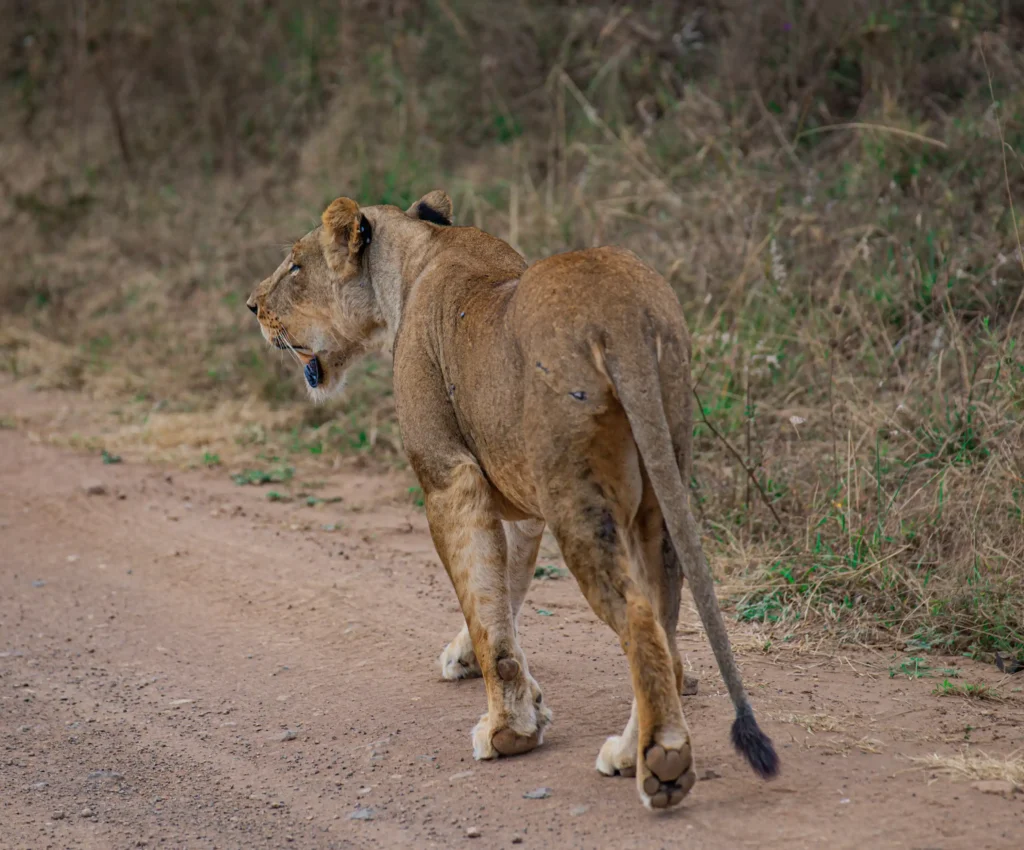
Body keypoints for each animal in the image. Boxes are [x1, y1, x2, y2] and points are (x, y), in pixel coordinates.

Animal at [246, 190, 778, 809]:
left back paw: (661, 763)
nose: (252, 305)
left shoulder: (448, 477)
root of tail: (623, 311)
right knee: (665, 618)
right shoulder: (521, 504)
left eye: (295, 266)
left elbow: (483, 603)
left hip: (578, 500)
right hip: (658, 483)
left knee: (640, 619)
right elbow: (507, 588)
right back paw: (629, 750)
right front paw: (489, 675)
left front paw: (508, 731)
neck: (412, 259)